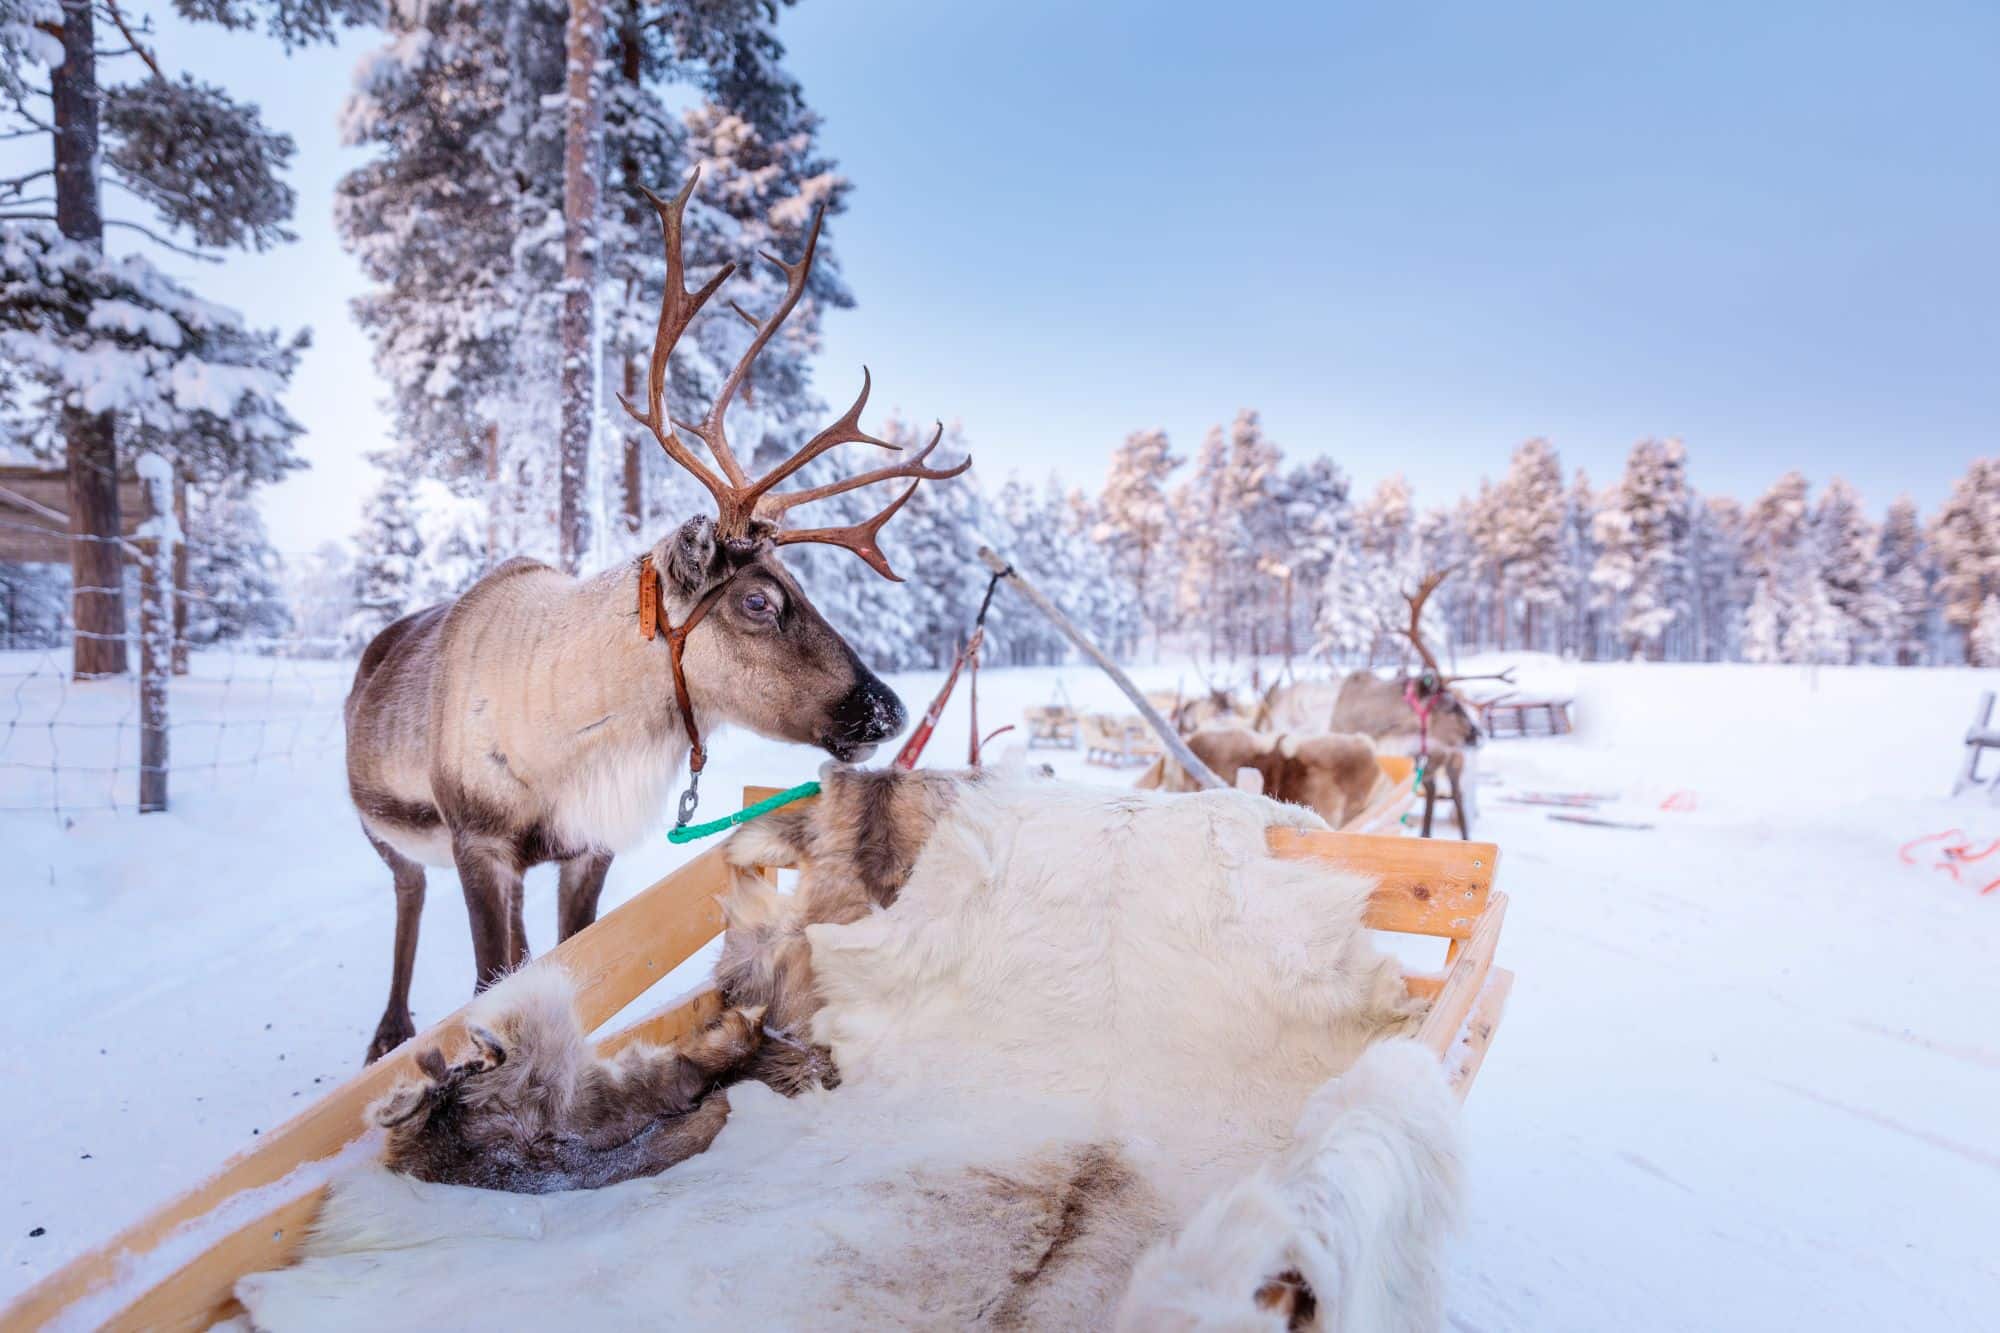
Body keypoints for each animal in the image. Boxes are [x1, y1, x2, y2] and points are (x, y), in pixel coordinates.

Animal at [345, 171, 968, 1063]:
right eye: (758, 599)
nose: (888, 707)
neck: (574, 737)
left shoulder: (586, 848)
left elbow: (561, 962)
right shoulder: (480, 842)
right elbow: (488, 980)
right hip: (382, 830)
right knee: (407, 898)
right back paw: (389, 1031)